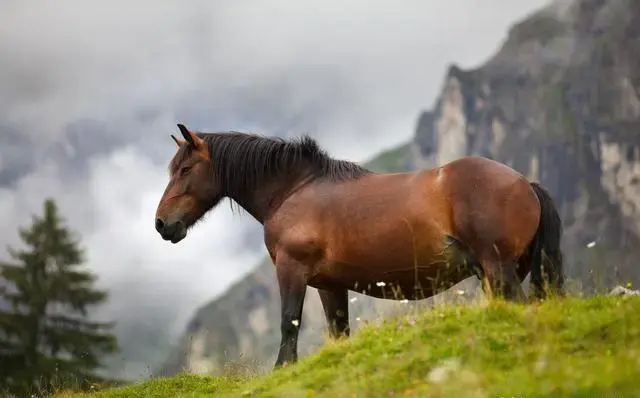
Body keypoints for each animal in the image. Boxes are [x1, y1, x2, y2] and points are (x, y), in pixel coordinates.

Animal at [155, 125, 564, 370]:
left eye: (186, 169)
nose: (162, 224)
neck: (294, 190)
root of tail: (524, 183)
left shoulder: (292, 271)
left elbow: (289, 322)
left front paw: (283, 369)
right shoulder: (330, 286)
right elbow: (339, 333)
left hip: (499, 270)